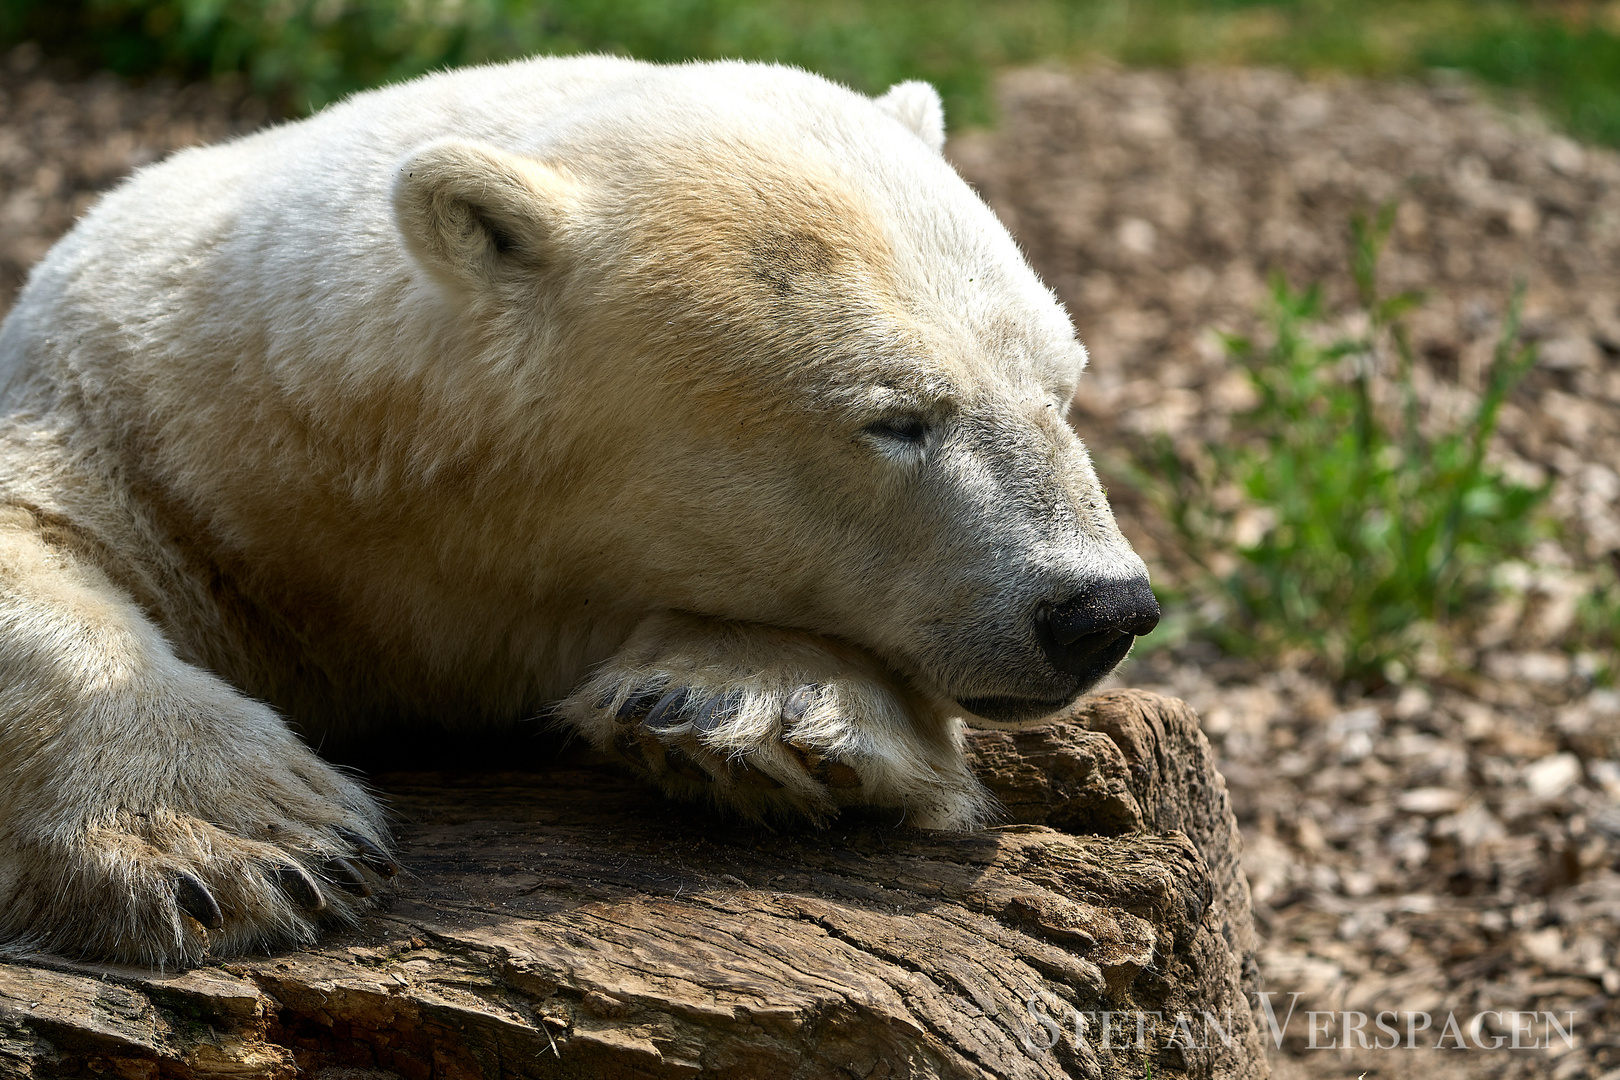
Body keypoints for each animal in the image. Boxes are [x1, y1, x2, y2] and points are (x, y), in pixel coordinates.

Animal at [0, 57, 1159, 965]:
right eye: (899, 418)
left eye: (1063, 383)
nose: (1099, 610)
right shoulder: (139, 421)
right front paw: (250, 844)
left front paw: (758, 710)